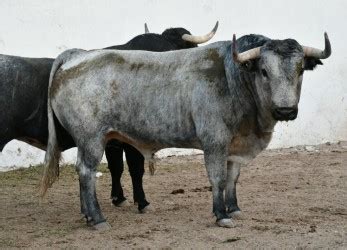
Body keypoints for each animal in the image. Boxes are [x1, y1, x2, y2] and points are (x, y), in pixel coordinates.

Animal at [0, 23, 218, 211]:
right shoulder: (130, 140)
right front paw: (142, 201)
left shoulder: (113, 141)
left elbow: (116, 167)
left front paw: (118, 197)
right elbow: (134, 167)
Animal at [42, 32, 334, 229]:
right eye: (263, 70)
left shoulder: (235, 146)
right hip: (91, 138)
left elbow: (232, 179)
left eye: (300, 70)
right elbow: (218, 178)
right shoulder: (214, 141)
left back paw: (87, 214)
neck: (233, 78)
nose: (285, 110)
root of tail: (78, 55)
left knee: (82, 172)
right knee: (86, 171)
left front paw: (234, 208)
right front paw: (221, 214)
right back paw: (98, 218)